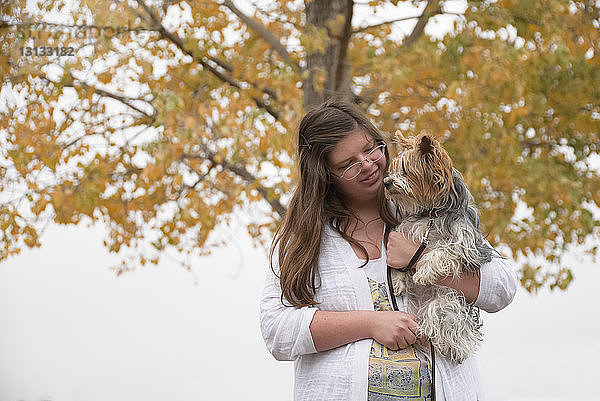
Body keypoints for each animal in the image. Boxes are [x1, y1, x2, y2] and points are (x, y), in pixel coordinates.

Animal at [384, 132, 496, 362]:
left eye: (406, 171)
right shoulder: (407, 230)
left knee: (438, 321)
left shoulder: (467, 246)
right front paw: (398, 280)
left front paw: (423, 272)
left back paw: (427, 333)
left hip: (447, 301)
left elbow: (442, 250)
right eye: (394, 169)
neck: (432, 213)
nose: (386, 182)